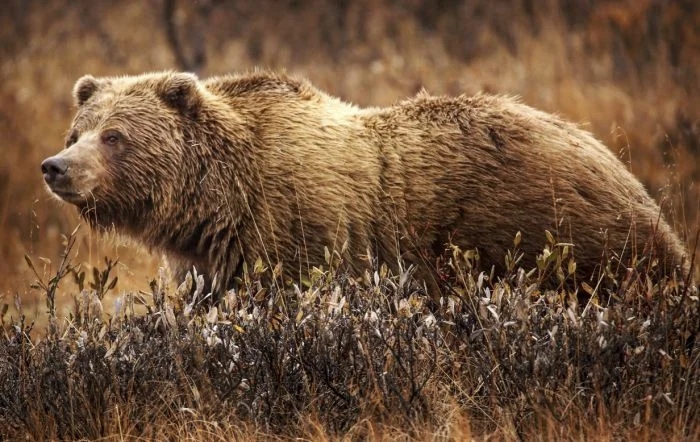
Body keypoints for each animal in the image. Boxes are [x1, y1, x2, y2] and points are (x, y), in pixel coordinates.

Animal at [39, 71, 688, 294]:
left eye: (115, 136)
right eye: (78, 130)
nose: (56, 166)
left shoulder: (298, 231)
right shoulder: (213, 259)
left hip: (559, 237)